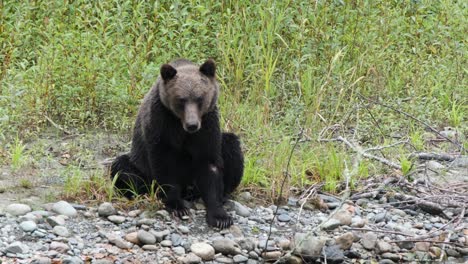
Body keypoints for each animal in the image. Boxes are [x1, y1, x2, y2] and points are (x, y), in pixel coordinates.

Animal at [109, 58, 241, 228]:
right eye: (181, 99)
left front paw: (220, 216)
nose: (192, 125)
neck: (180, 124)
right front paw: (177, 206)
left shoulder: (207, 125)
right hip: (141, 167)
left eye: (200, 98)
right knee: (122, 168)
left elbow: (209, 162)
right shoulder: (160, 122)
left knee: (232, 146)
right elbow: (164, 164)